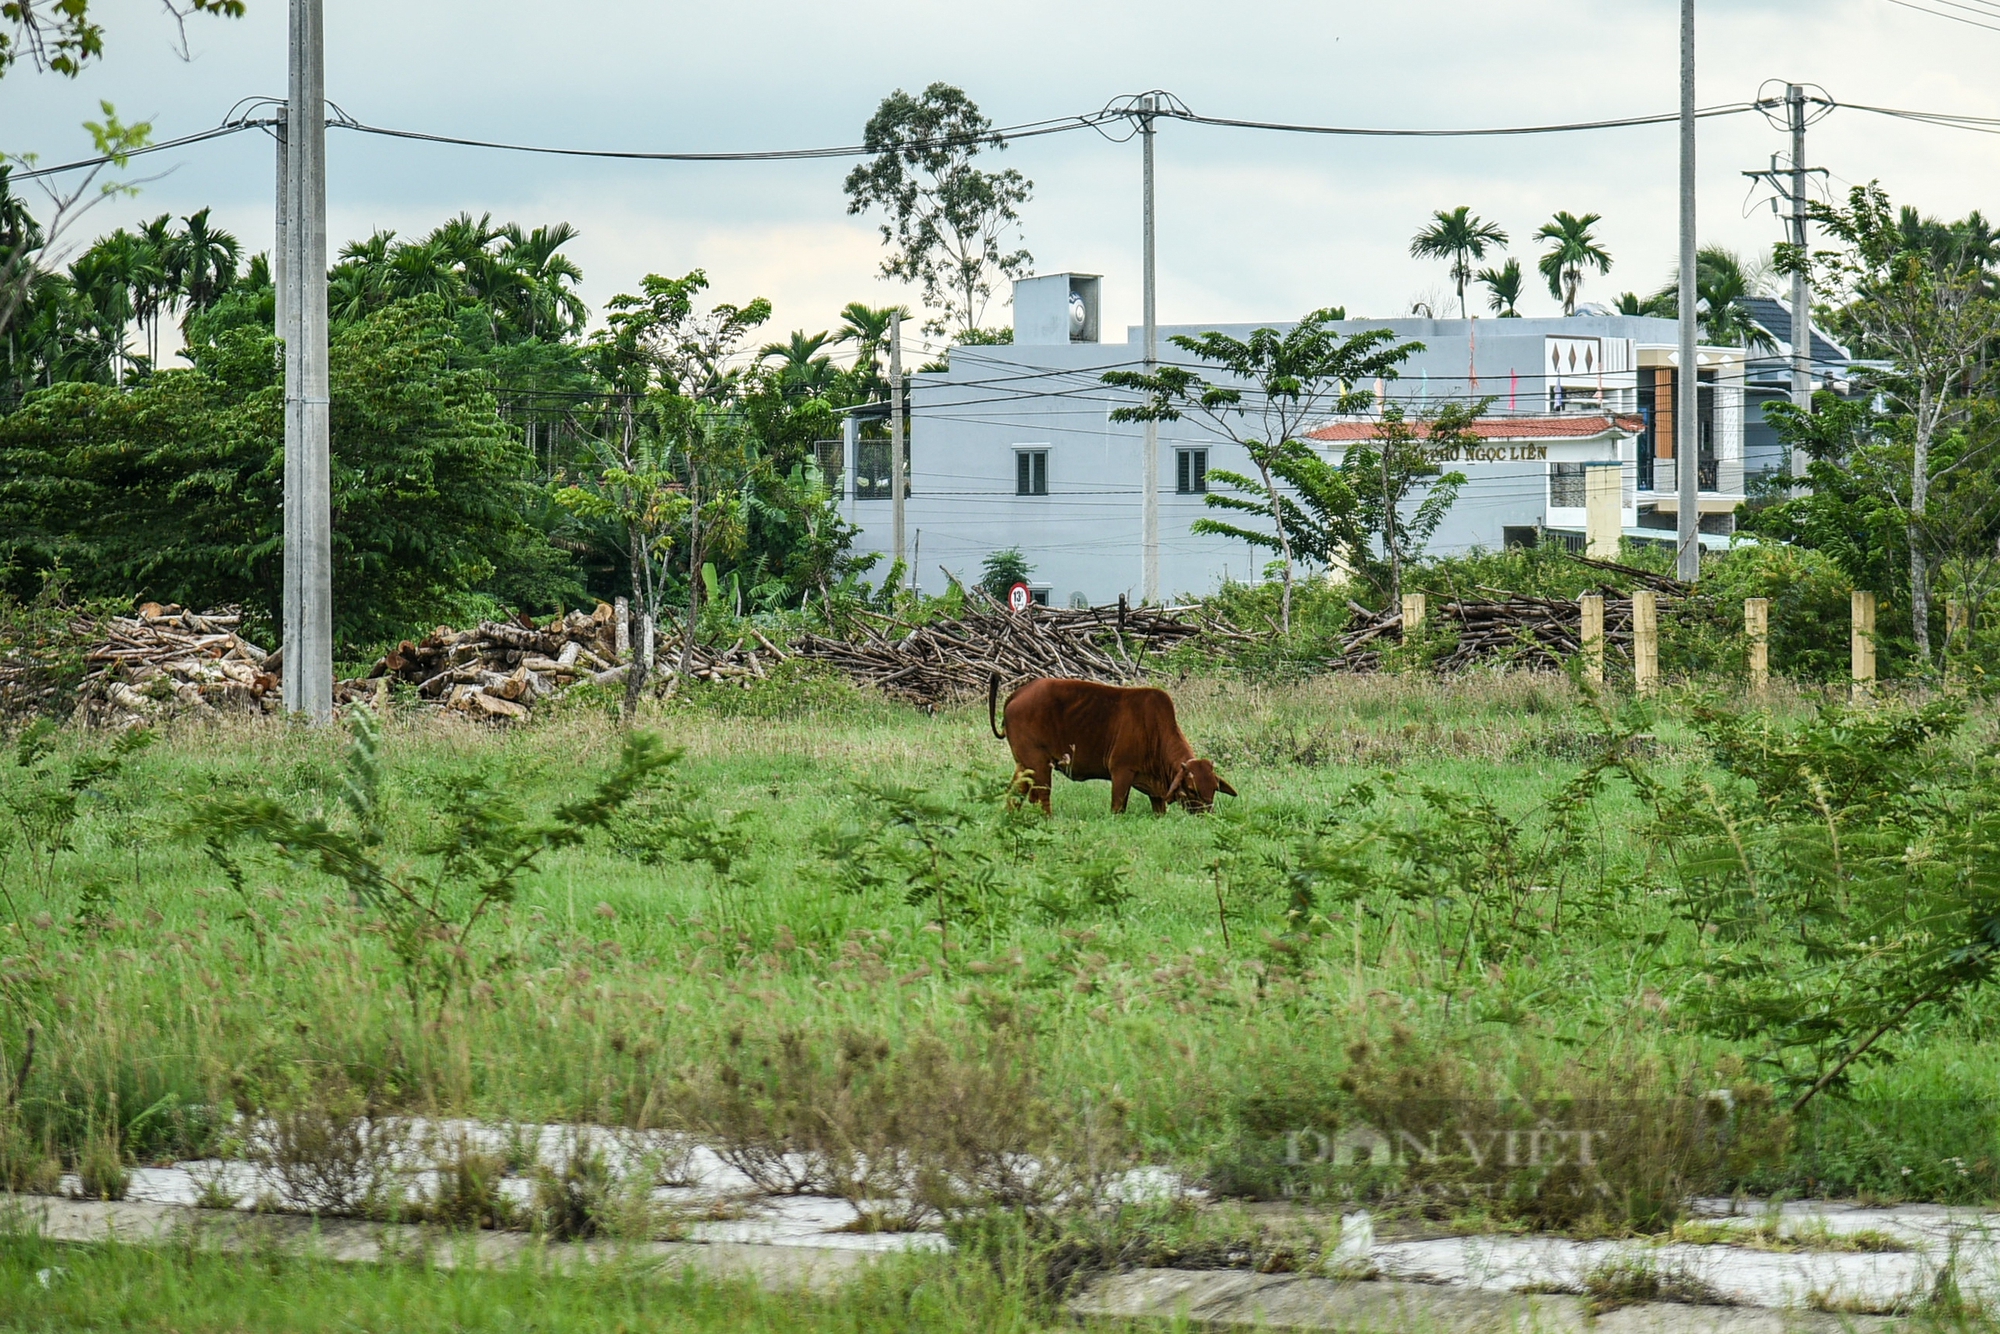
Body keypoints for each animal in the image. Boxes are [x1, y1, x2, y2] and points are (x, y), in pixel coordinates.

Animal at [988, 680, 1232, 816]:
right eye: (1191, 788)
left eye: (1214, 788)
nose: (1206, 815)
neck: (1154, 730)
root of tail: (1018, 693)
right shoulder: (1121, 772)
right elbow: (1117, 808)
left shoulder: (1156, 793)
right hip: (1039, 764)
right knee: (1042, 797)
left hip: (1024, 765)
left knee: (1014, 794)